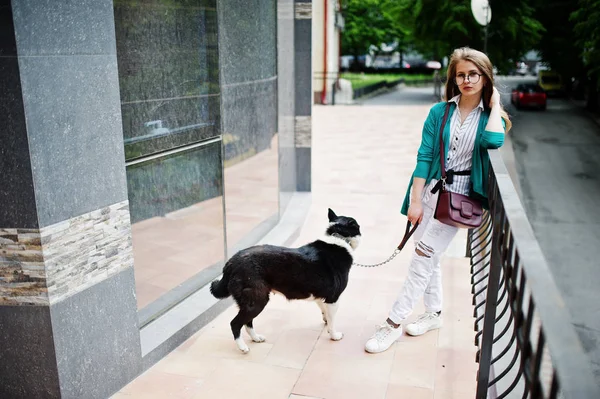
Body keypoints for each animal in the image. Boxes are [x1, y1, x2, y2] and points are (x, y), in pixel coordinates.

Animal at [211, 209, 360, 354]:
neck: (338, 238)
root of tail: (231, 262)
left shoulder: (322, 297)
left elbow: (325, 314)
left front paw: (326, 322)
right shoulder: (333, 299)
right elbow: (332, 321)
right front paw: (334, 335)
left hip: (252, 300)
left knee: (248, 323)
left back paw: (255, 338)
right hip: (257, 300)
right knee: (235, 324)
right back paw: (242, 347)